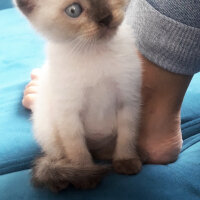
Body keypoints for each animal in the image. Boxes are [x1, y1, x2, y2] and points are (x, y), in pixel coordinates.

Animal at [14, 0, 141, 191]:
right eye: (73, 11)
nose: (105, 18)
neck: (94, 52)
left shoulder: (128, 100)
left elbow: (127, 135)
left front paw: (126, 161)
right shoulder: (68, 112)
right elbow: (77, 148)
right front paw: (86, 175)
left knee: (102, 151)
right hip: (48, 130)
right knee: (58, 157)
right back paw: (61, 180)